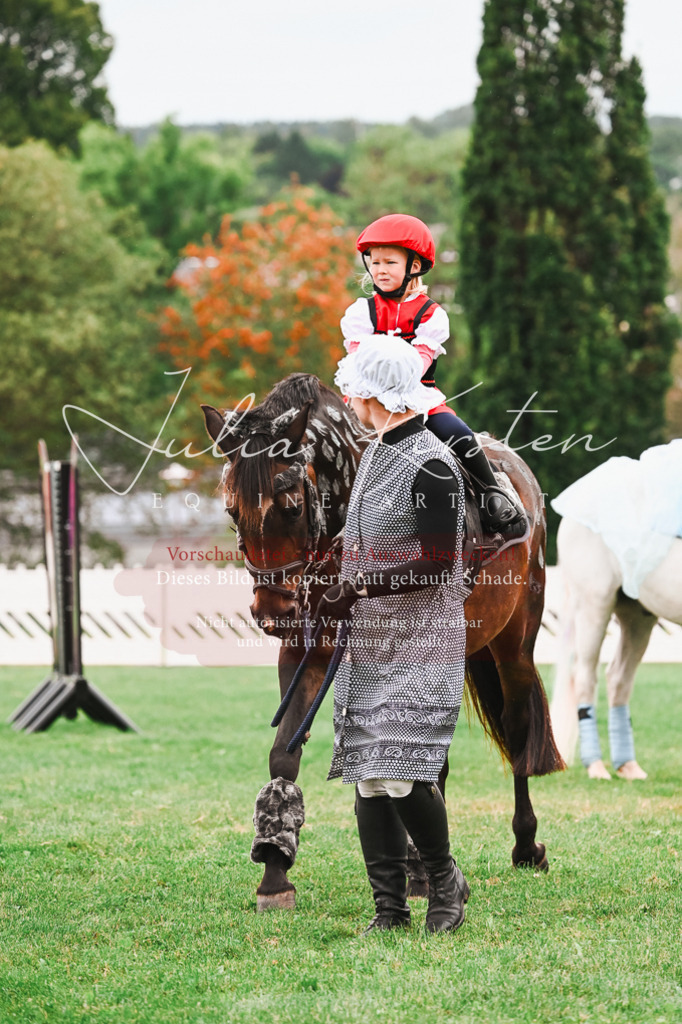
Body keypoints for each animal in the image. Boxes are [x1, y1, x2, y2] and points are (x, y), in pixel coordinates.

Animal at [202, 373, 564, 910]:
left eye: (291, 507)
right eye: (232, 510)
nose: (273, 613)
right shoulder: (306, 651)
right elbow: (285, 751)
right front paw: (275, 869)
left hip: (513, 646)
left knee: (517, 727)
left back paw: (524, 845)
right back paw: (421, 868)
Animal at [550, 516, 682, 779]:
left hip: (638, 616)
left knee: (619, 678)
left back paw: (627, 766)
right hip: (593, 607)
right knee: (584, 677)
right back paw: (596, 767)